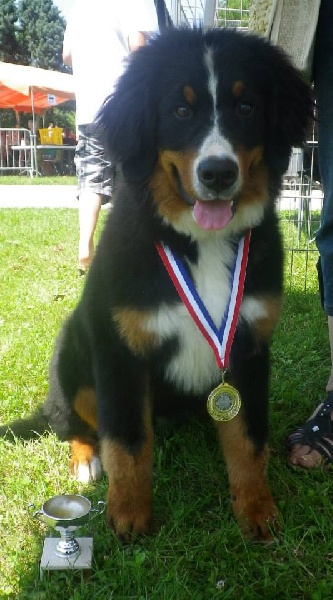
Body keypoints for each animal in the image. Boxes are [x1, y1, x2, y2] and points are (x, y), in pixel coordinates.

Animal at [0, 29, 312, 544]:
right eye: (181, 110)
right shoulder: (120, 351)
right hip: (74, 354)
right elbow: (127, 443)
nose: (218, 173)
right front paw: (128, 517)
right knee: (74, 423)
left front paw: (257, 512)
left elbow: (248, 442)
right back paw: (86, 463)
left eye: (246, 107)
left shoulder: (249, 349)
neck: (199, 241)